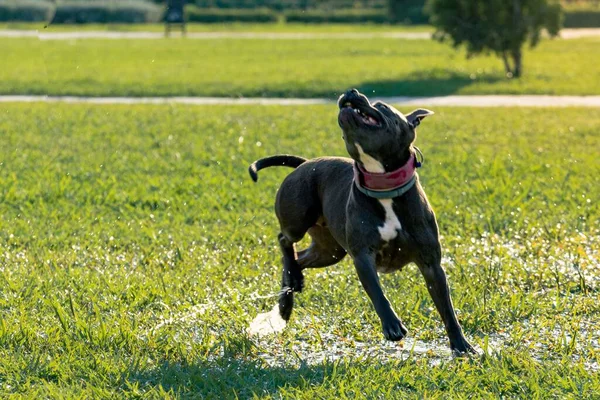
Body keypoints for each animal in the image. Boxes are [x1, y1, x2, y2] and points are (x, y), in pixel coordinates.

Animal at [247, 88, 474, 354]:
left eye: (382, 105)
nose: (351, 91)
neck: (384, 186)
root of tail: (304, 163)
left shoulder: (431, 264)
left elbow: (446, 308)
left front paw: (462, 345)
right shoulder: (363, 256)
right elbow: (377, 292)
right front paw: (392, 326)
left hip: (329, 251)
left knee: (298, 259)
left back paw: (291, 289)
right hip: (298, 220)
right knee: (284, 240)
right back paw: (288, 292)